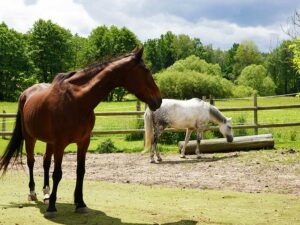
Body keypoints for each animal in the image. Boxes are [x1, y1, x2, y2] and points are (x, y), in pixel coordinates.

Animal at [0, 47, 162, 218]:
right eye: (146, 70)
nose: (159, 100)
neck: (77, 101)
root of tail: (25, 94)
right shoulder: (60, 144)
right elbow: (57, 173)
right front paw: (52, 207)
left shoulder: (83, 142)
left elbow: (80, 171)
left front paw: (80, 203)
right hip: (30, 137)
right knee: (31, 162)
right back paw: (33, 193)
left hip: (49, 142)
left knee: (45, 162)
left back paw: (46, 193)